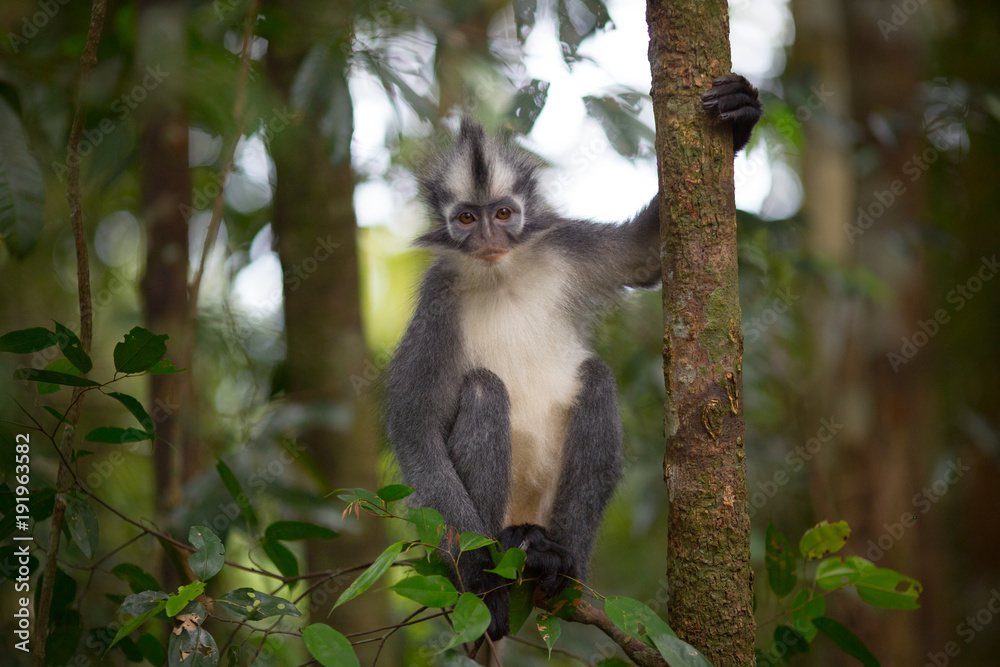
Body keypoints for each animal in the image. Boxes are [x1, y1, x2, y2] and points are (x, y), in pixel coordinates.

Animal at [384, 74, 762, 640]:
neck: (502, 274)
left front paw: (739, 114)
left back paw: (558, 562)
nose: (489, 237)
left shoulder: (566, 249)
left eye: (503, 213)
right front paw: (479, 578)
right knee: (483, 389)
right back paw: (505, 557)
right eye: (466, 218)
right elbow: (415, 430)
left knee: (598, 378)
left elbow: (642, 255)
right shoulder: (436, 303)